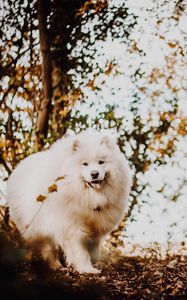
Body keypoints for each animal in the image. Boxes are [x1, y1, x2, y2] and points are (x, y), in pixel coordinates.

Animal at [6, 130, 131, 274]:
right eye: (85, 164)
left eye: (101, 162)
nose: (94, 174)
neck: (90, 197)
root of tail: (20, 166)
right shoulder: (74, 227)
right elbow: (81, 252)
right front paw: (87, 269)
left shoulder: (95, 227)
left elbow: (93, 249)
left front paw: (92, 263)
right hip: (40, 226)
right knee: (48, 248)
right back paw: (55, 265)